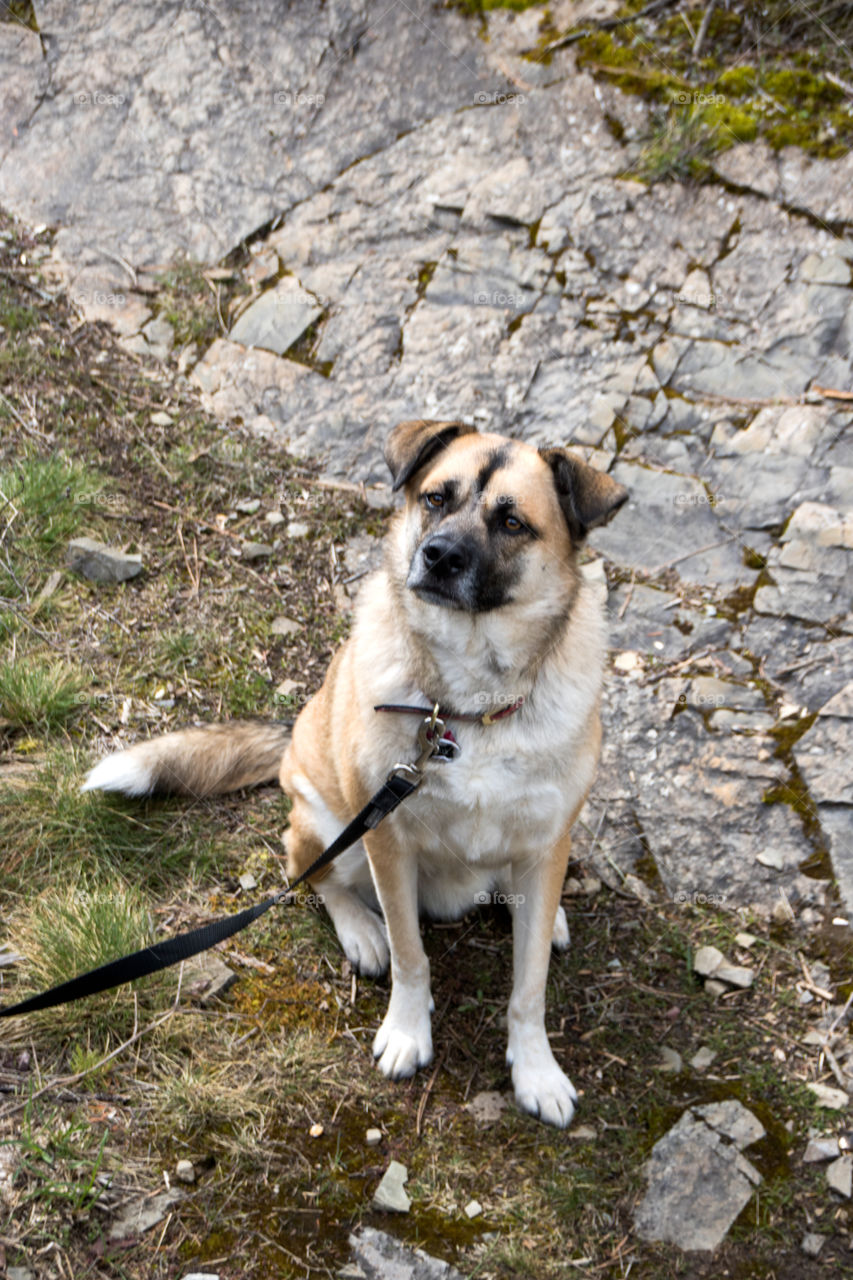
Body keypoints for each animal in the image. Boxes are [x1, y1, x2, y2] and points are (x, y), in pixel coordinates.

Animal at [81, 422, 625, 1131]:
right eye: (435, 497)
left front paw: (536, 1070)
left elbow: (527, 987)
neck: (469, 707)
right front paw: (407, 1032)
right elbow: (412, 955)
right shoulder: (387, 841)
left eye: (512, 522)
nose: (438, 556)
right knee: (308, 872)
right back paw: (362, 933)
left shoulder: (544, 842)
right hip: (330, 823)